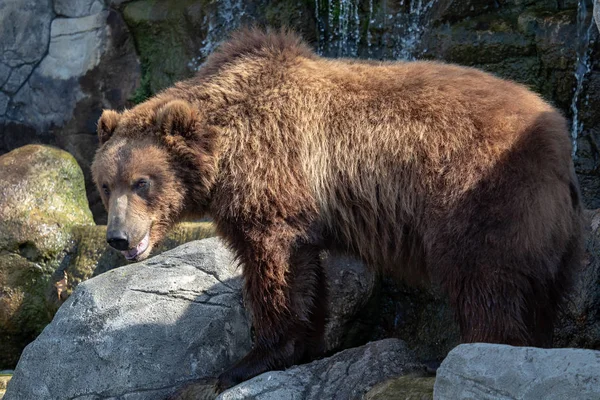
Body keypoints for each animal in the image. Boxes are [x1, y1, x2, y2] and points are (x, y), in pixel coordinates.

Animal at [92, 29, 580, 392]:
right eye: (104, 185)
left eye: (142, 182)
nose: (118, 237)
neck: (222, 149)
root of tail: (558, 133)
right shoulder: (299, 206)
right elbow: (306, 272)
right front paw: (308, 343)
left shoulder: (272, 178)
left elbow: (274, 269)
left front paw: (247, 362)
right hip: (548, 229)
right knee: (536, 292)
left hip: (481, 195)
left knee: (487, 281)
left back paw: (481, 348)